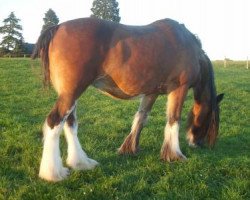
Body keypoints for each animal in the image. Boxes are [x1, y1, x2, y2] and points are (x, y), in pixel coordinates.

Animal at [31, 18, 225, 182]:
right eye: (210, 120)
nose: (197, 143)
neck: (187, 44)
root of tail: (57, 28)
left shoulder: (151, 93)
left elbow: (141, 118)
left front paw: (130, 148)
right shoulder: (179, 89)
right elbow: (173, 119)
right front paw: (175, 155)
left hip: (71, 95)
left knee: (70, 124)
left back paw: (81, 163)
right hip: (71, 93)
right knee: (54, 122)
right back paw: (53, 173)